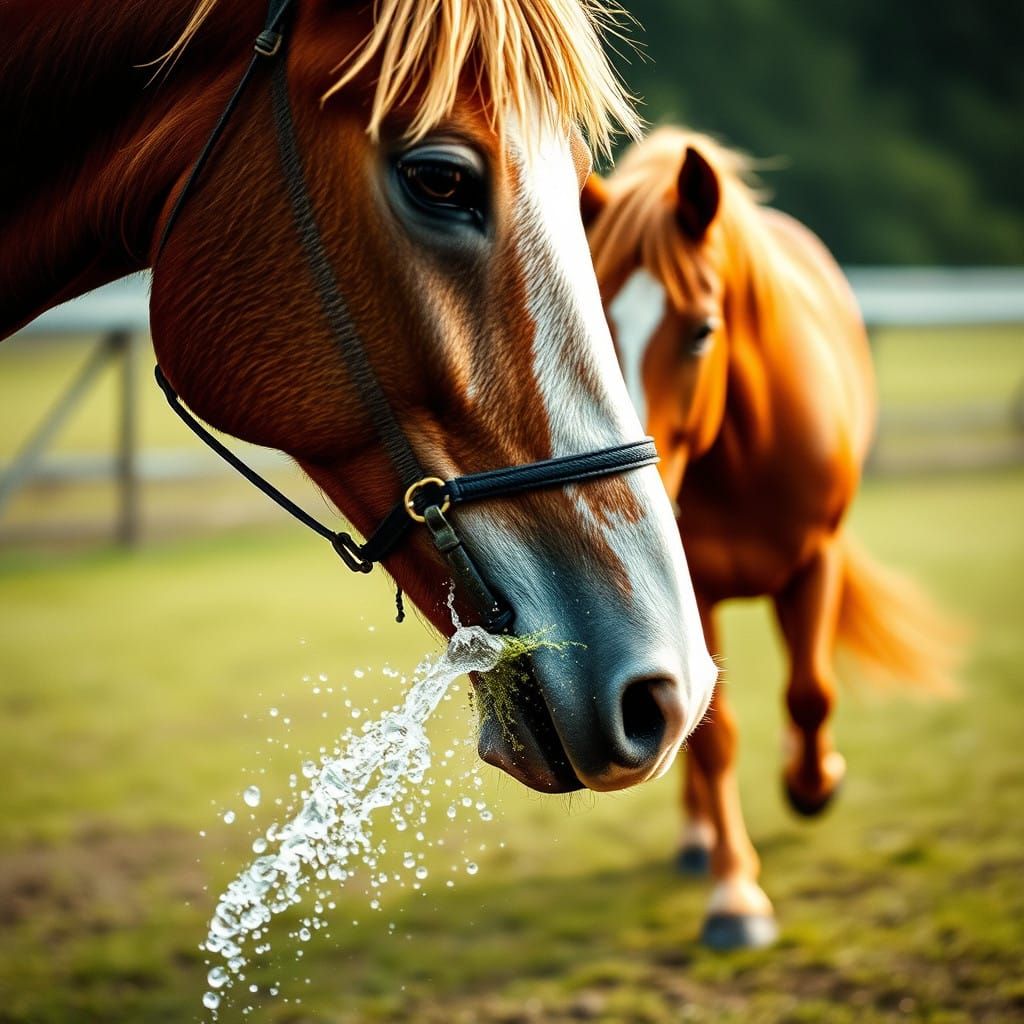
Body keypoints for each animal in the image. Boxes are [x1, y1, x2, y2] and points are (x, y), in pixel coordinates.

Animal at [583, 127, 959, 948]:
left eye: (701, 331)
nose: (624, 498)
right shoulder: (692, 595)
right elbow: (714, 738)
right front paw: (735, 896)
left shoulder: (815, 565)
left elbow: (811, 693)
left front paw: (815, 781)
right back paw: (697, 839)